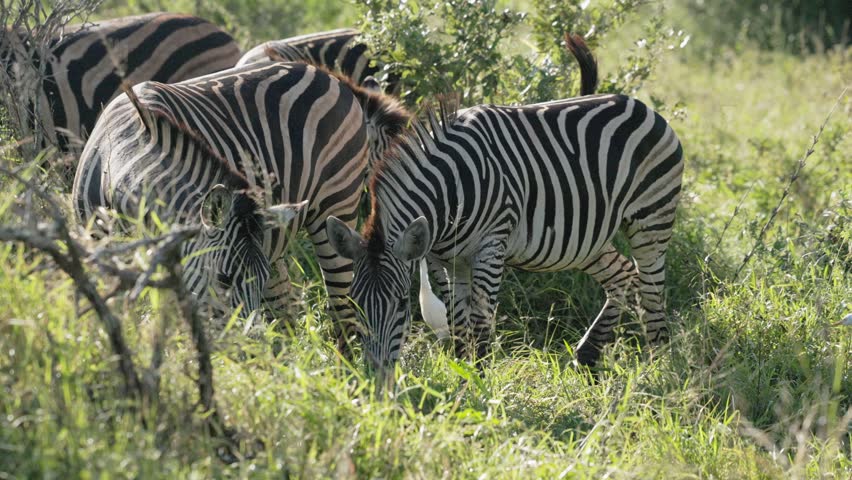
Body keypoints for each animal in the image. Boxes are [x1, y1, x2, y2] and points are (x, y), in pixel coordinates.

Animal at [72, 61, 410, 343]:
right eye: (222, 279)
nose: (249, 349)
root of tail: (326, 75)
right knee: (286, 311)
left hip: (336, 203)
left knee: (342, 310)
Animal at [325, 34, 684, 382]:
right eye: (354, 302)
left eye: (402, 304)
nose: (377, 379)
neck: (449, 193)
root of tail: (635, 103)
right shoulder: (442, 258)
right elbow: (458, 322)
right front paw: (463, 373)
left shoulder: (491, 245)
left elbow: (481, 321)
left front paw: (481, 382)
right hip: (585, 237)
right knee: (622, 274)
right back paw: (588, 355)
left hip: (651, 218)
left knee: (652, 292)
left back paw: (660, 369)